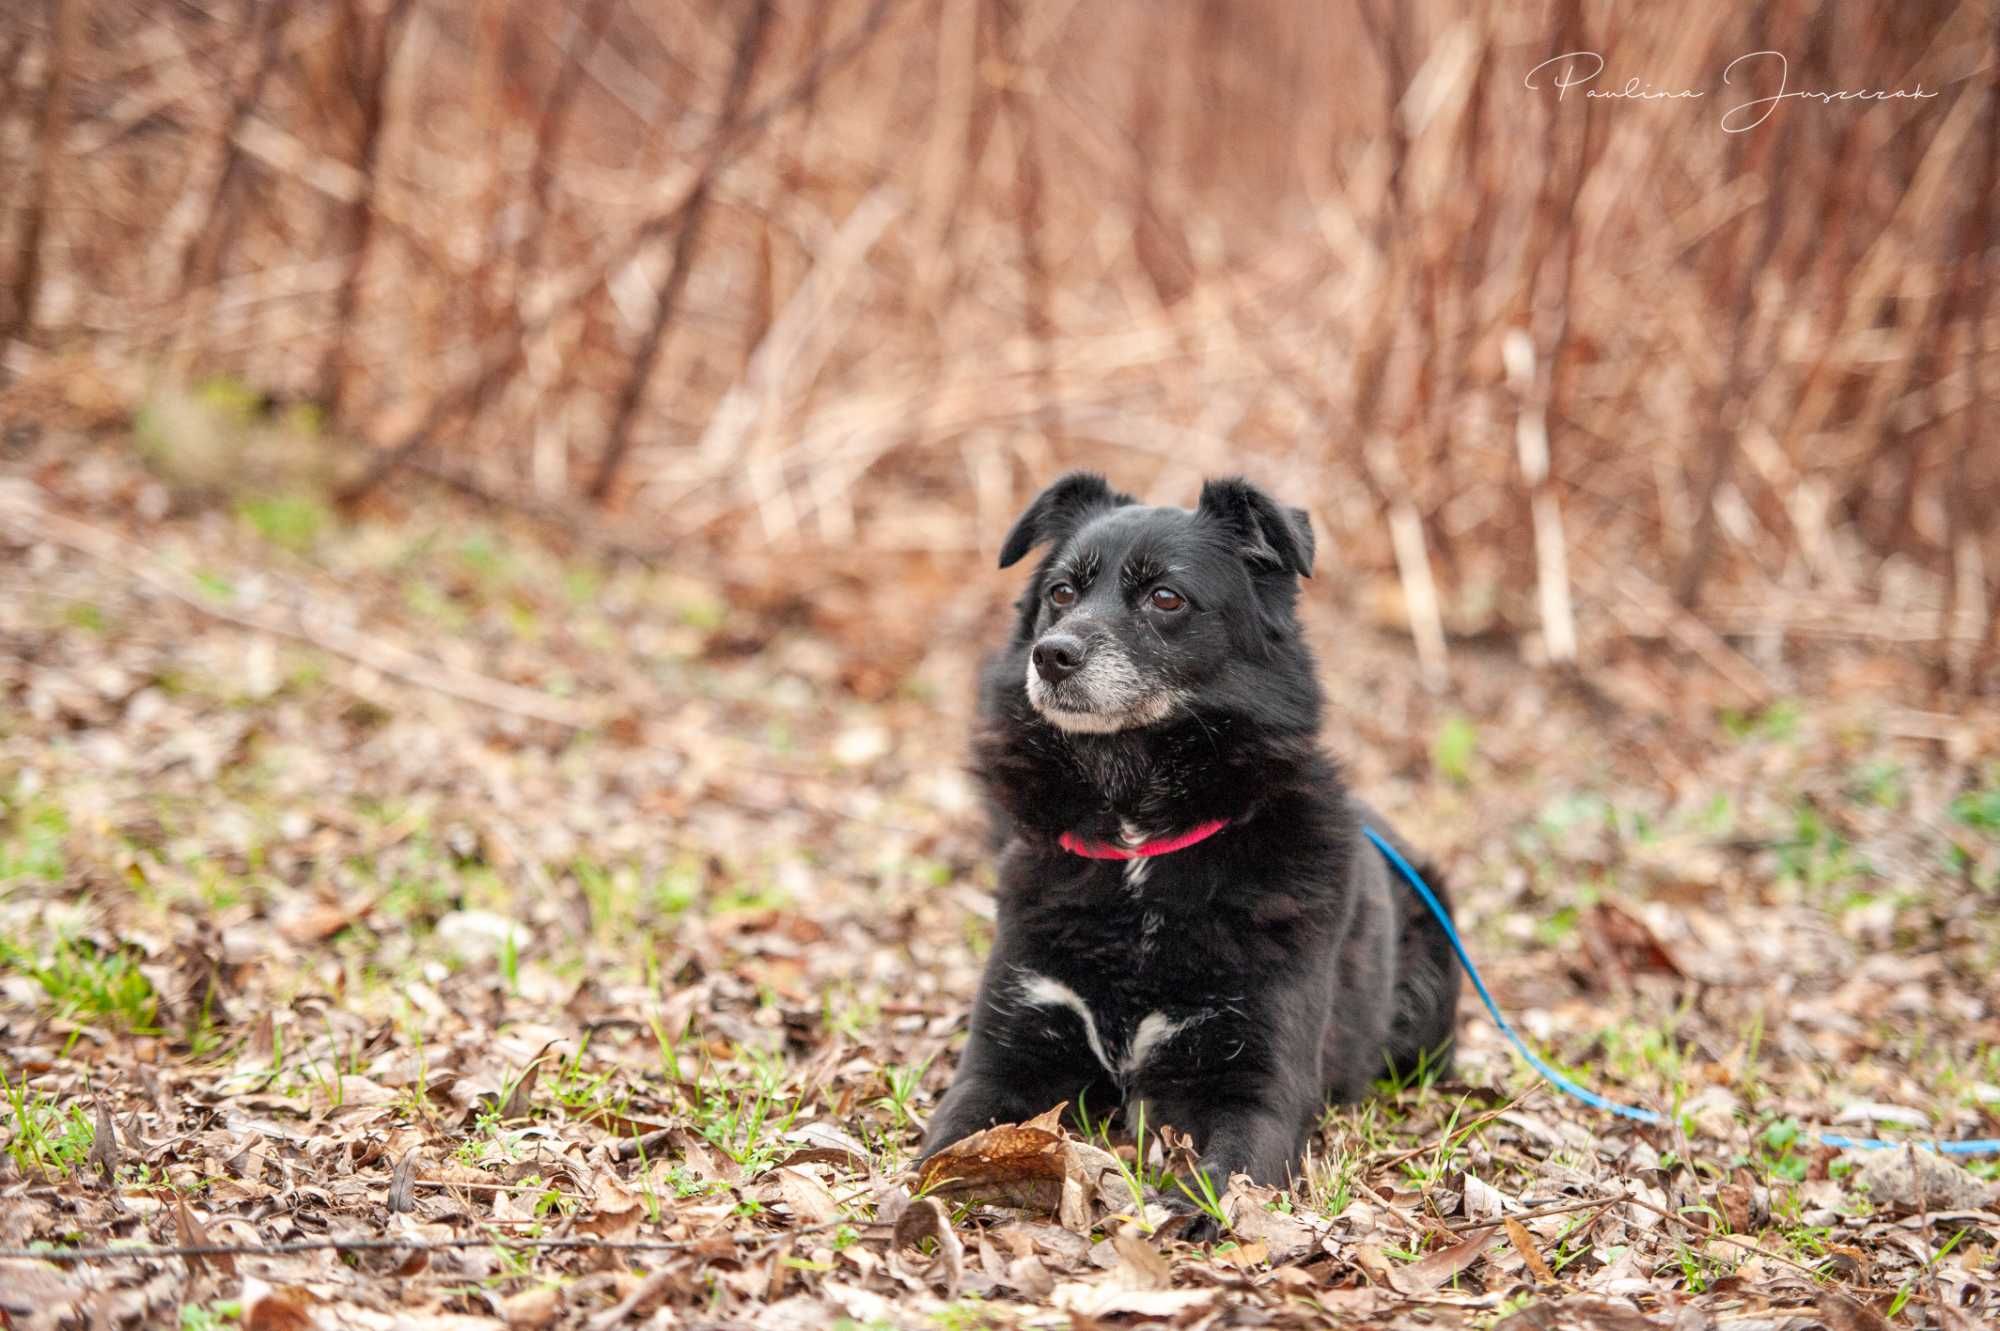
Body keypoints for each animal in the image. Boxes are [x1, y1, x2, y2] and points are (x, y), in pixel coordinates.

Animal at [916, 471, 1456, 1215]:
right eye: (1062, 592)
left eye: (1166, 597)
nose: (1050, 655)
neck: (1138, 846)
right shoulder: (1009, 1050)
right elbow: (949, 1139)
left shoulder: (1250, 1081)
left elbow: (1226, 1176)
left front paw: (1185, 1217)